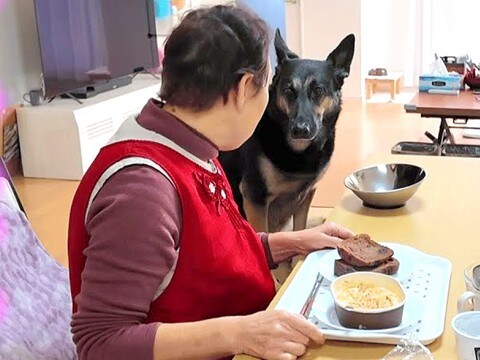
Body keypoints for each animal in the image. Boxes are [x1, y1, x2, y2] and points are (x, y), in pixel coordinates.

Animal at [219, 31, 354, 236]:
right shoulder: (255, 199)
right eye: (289, 90)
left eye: (318, 90)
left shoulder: (306, 196)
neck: (300, 152)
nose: (300, 130)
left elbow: (301, 228)